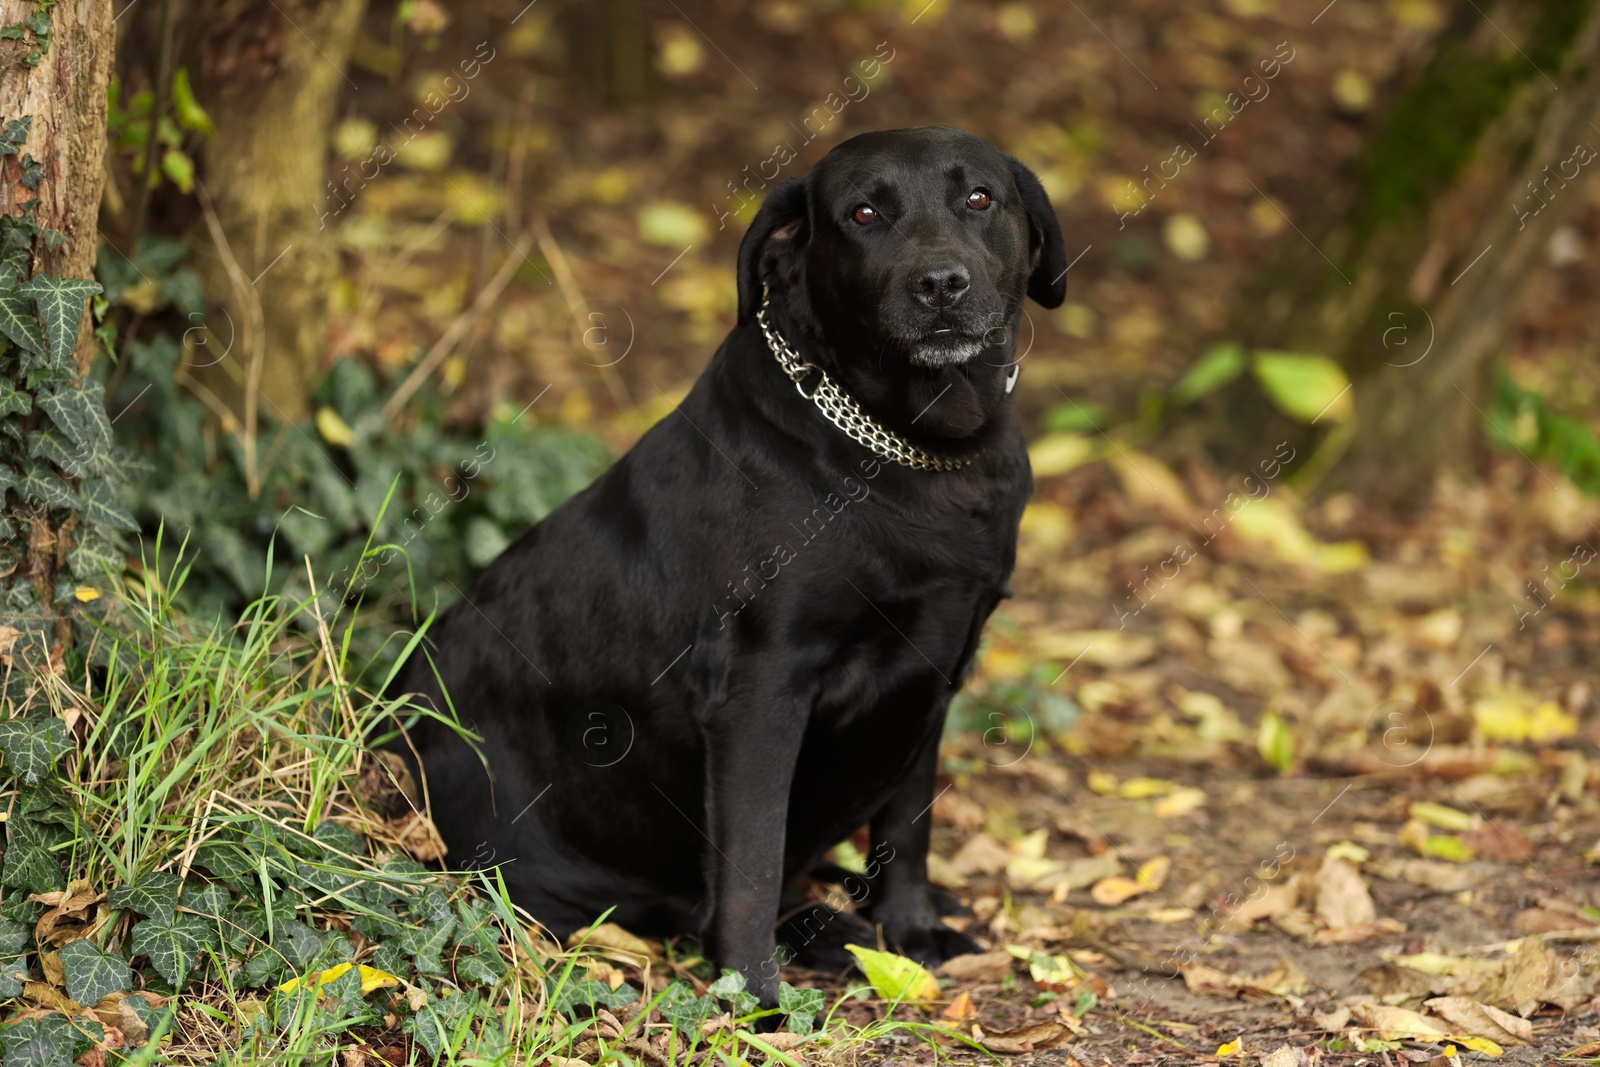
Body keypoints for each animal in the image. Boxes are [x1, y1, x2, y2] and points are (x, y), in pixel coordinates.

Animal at [392, 123, 1062, 1004]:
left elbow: (908, 825)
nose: (941, 283)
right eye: (864, 213)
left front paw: (910, 930)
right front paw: (754, 996)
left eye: (980, 198)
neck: (911, 452)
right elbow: (750, 859)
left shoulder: (937, 670)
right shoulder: (760, 688)